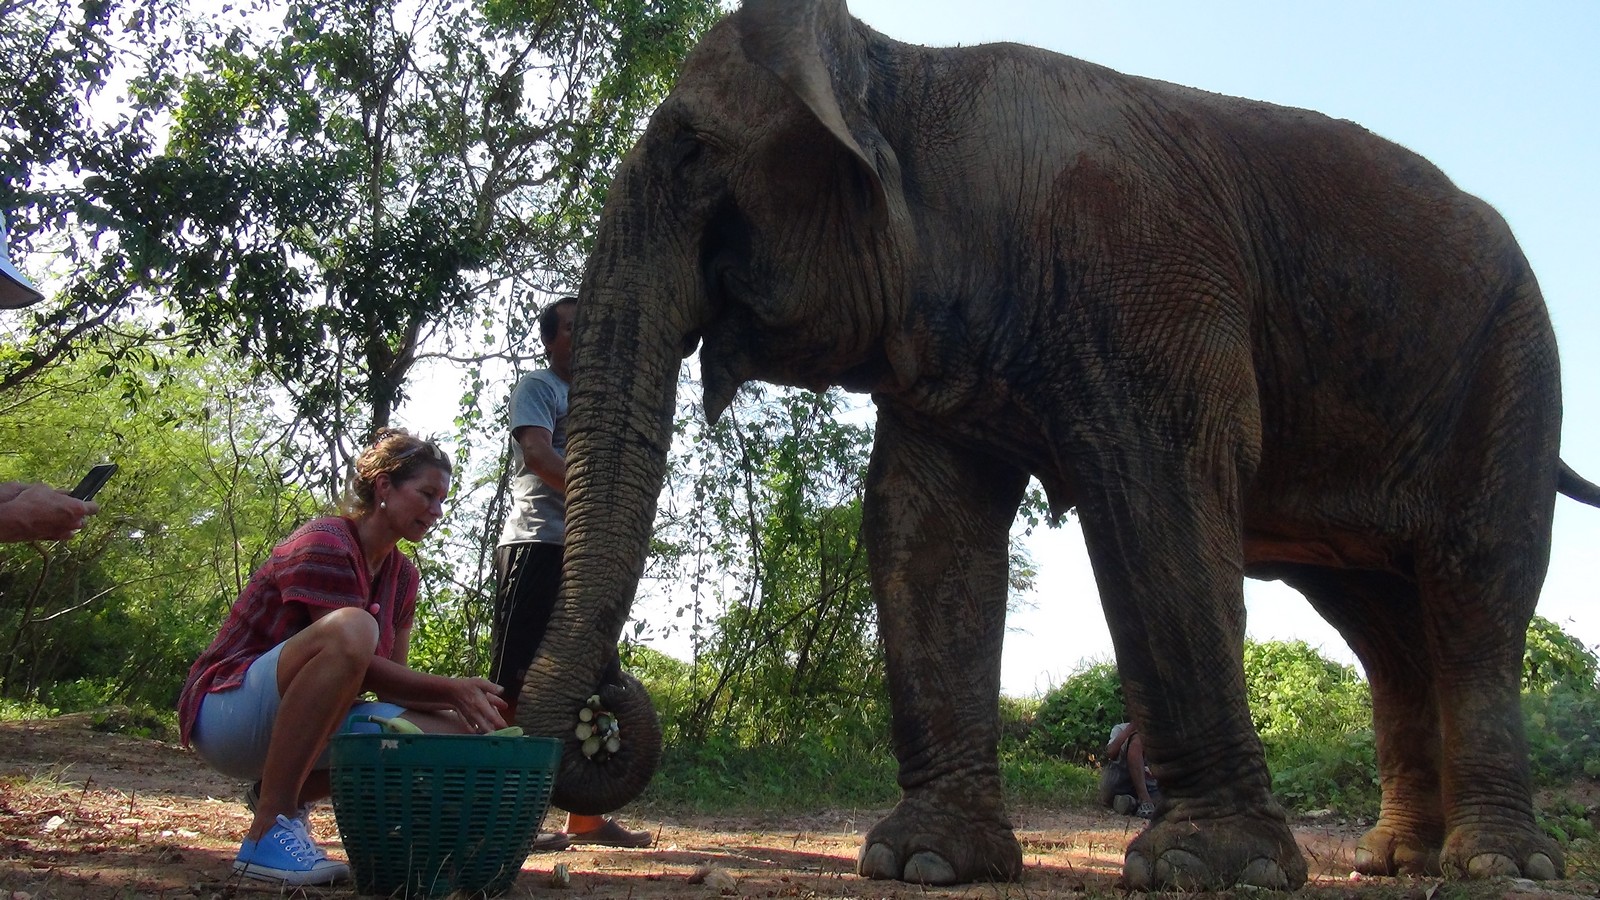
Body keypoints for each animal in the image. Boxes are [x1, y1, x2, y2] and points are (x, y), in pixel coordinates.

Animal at [512, 0, 1600, 883]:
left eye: (693, 151)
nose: (603, 695)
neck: (908, 68)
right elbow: (926, 531)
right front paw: (924, 863)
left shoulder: (1148, 291)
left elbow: (1157, 509)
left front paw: (1209, 869)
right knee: (1381, 625)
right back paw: (1399, 861)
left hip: (1513, 371)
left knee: (1475, 591)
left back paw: (1501, 866)